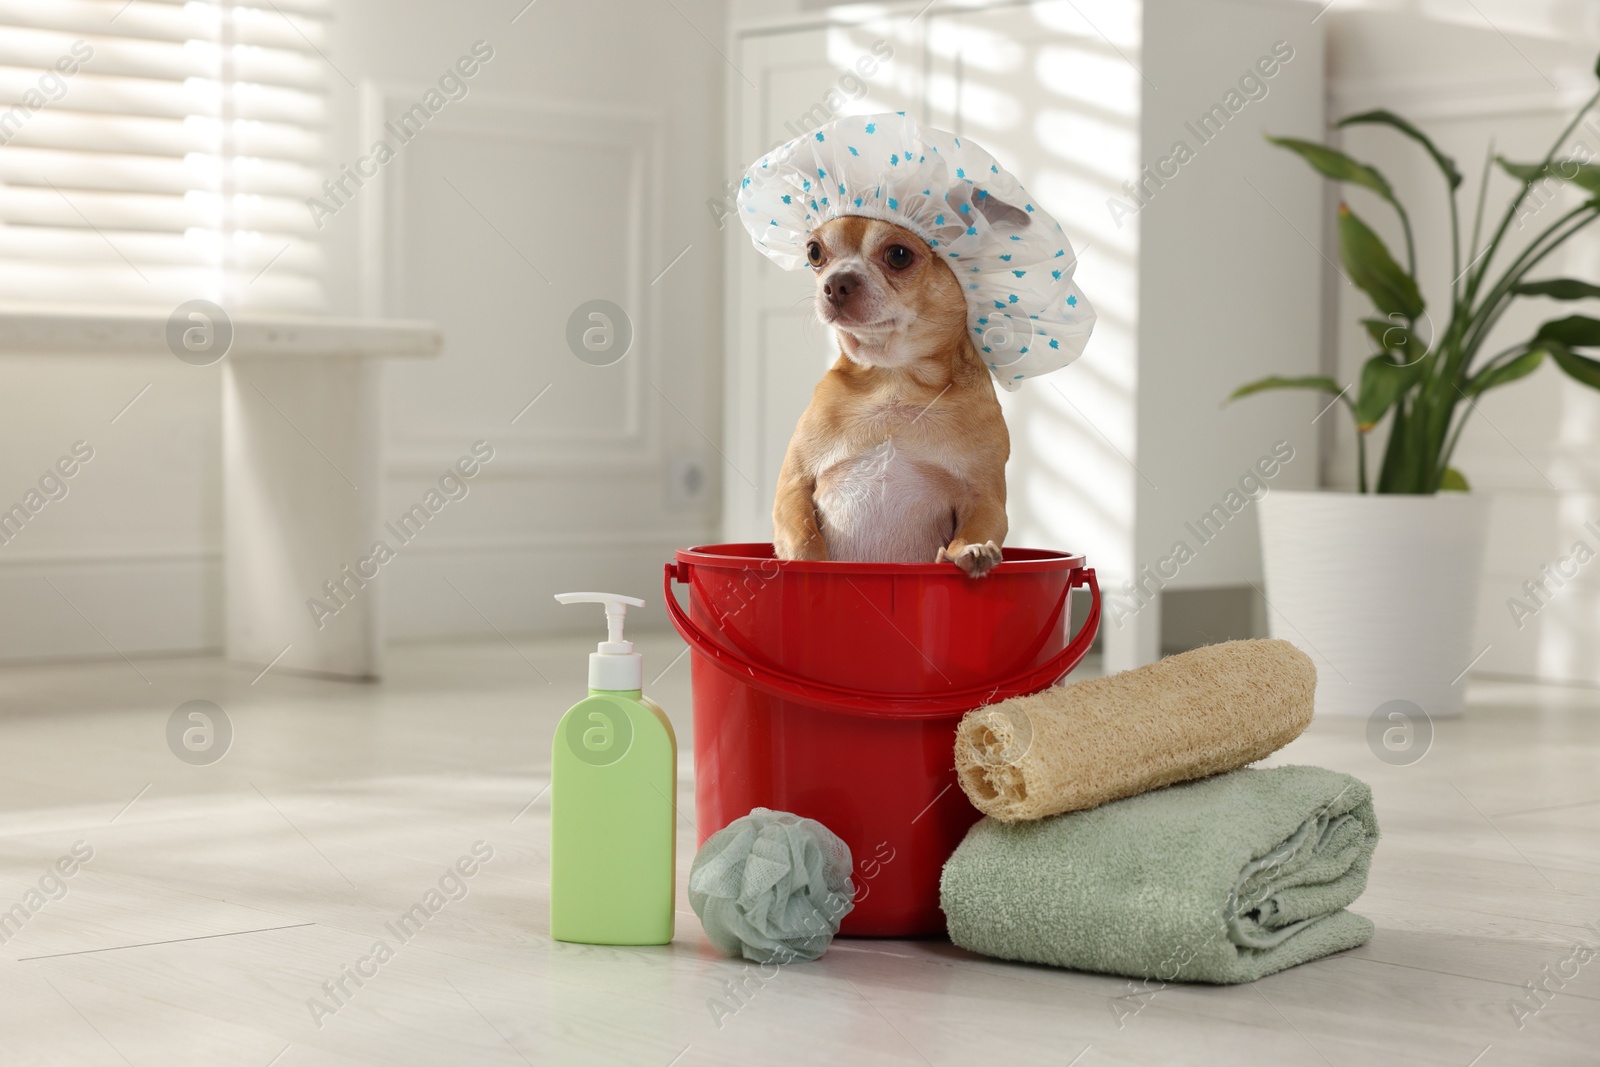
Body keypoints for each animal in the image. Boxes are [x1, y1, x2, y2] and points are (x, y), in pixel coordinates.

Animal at [768, 214, 1004, 575]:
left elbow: (972, 531)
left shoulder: (985, 501)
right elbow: (805, 539)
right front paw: (809, 565)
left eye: (899, 255)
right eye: (814, 252)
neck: (894, 378)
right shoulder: (794, 488)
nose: (836, 282)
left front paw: (971, 550)